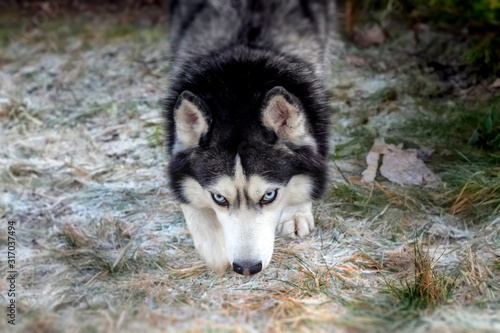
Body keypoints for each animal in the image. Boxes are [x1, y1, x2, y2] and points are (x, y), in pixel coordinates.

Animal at [166, 0, 334, 274]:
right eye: (219, 198)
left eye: (269, 196)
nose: (246, 268)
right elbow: (190, 203)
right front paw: (214, 249)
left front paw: (296, 211)